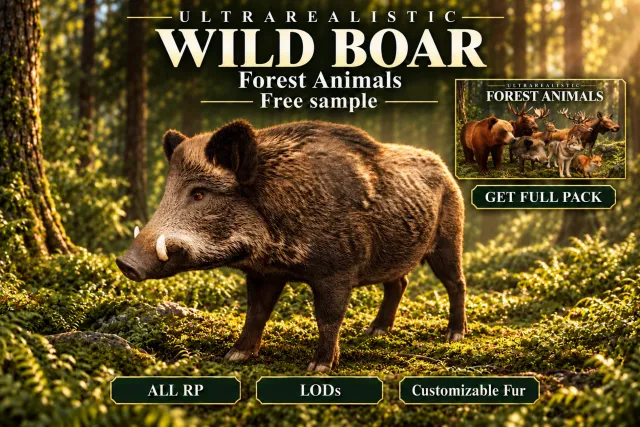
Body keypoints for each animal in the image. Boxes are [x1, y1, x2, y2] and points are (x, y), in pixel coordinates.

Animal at [116, 120, 468, 372]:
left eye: (199, 193)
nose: (125, 264)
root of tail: (445, 169)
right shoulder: (263, 273)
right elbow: (256, 312)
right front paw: (235, 356)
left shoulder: (337, 271)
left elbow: (328, 317)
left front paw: (319, 368)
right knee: (399, 282)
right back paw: (375, 332)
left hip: (449, 240)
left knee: (456, 283)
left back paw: (454, 335)